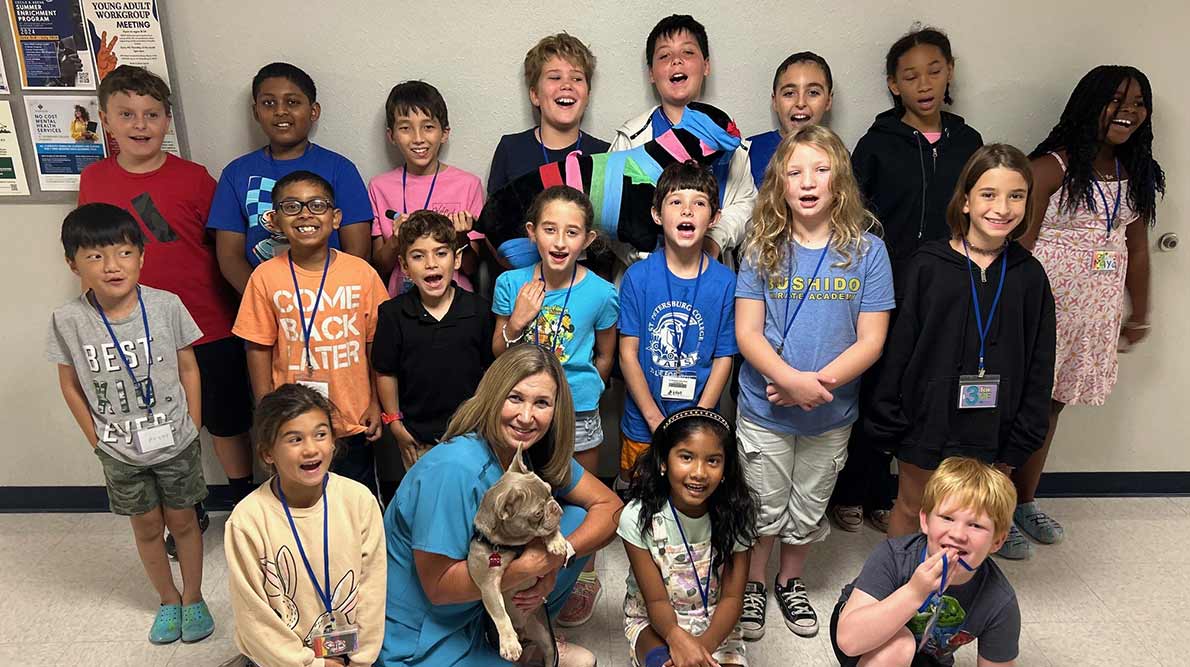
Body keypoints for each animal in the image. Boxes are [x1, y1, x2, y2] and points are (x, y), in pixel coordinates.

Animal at [466, 439, 568, 661]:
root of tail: (525, 632)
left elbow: (549, 530)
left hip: (545, 636)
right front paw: (509, 643)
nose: (555, 506)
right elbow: (500, 613)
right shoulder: (488, 585)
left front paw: (557, 542)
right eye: (537, 513)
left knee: (549, 652)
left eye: (550, 490)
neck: (513, 545)